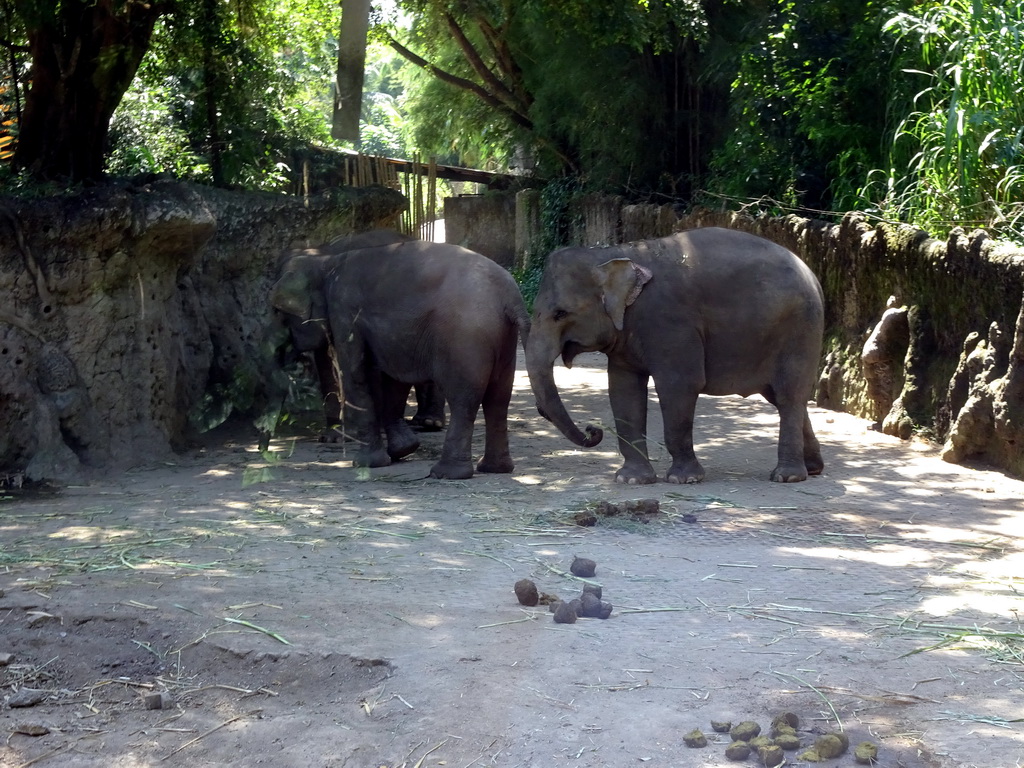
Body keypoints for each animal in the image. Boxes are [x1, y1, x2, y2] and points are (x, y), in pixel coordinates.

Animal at [524, 225, 827, 483]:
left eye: (560, 313)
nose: (593, 430)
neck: (610, 254)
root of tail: (813, 275)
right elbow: (623, 390)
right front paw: (631, 480)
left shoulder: (671, 322)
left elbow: (679, 386)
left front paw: (685, 479)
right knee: (782, 397)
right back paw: (812, 469)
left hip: (800, 330)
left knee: (789, 395)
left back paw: (787, 476)